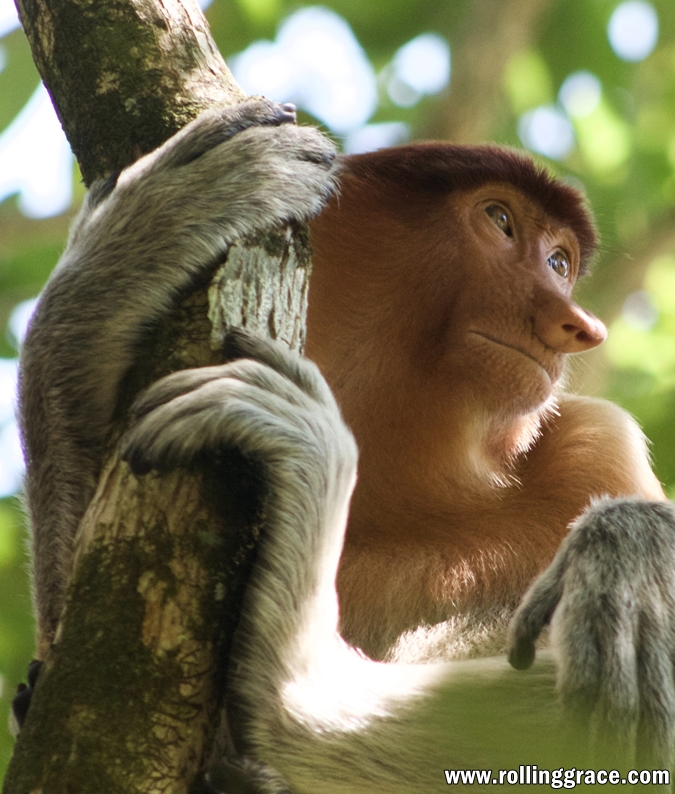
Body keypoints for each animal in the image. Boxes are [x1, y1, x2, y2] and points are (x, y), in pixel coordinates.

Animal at [16, 96, 675, 789]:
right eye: (500, 220)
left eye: (560, 263)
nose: (578, 326)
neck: (407, 490)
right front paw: (118, 259)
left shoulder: (597, 446)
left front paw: (632, 546)